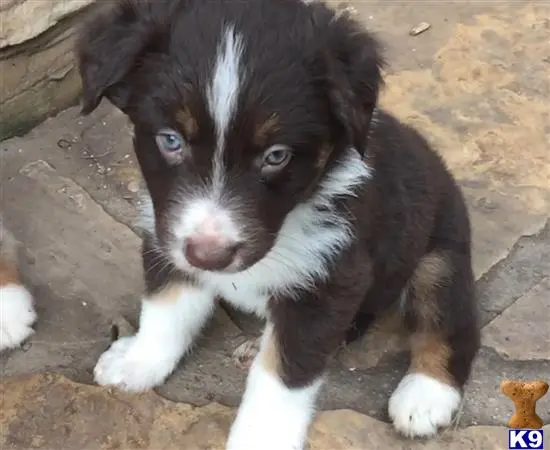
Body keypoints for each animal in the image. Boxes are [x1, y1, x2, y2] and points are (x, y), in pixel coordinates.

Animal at [75, 1, 480, 448]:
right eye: (170, 140)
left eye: (276, 156)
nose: (210, 256)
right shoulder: (167, 236)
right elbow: (166, 309)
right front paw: (137, 361)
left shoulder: (328, 278)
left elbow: (284, 374)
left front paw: (260, 437)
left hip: (439, 254)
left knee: (450, 322)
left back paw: (425, 395)